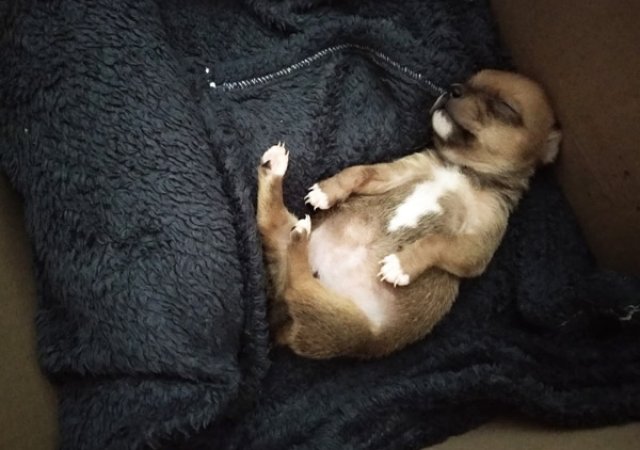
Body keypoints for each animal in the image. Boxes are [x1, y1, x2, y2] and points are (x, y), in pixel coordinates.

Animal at [256, 70, 561, 359]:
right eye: (467, 81)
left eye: (504, 108)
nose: (453, 88)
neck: (462, 170)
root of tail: (282, 315)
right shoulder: (396, 172)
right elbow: (359, 171)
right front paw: (328, 191)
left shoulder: (476, 249)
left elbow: (437, 242)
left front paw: (402, 265)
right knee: (269, 226)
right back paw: (275, 171)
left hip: (348, 326)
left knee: (298, 283)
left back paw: (298, 232)